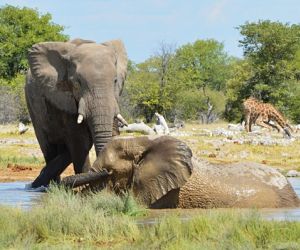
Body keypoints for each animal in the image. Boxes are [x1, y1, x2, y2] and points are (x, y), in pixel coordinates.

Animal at [25, 38, 127, 188]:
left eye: (115, 81)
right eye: (77, 83)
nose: (106, 172)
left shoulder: (113, 98)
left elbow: (113, 134)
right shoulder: (65, 99)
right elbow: (80, 142)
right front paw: (86, 187)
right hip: (33, 108)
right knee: (49, 148)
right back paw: (49, 186)